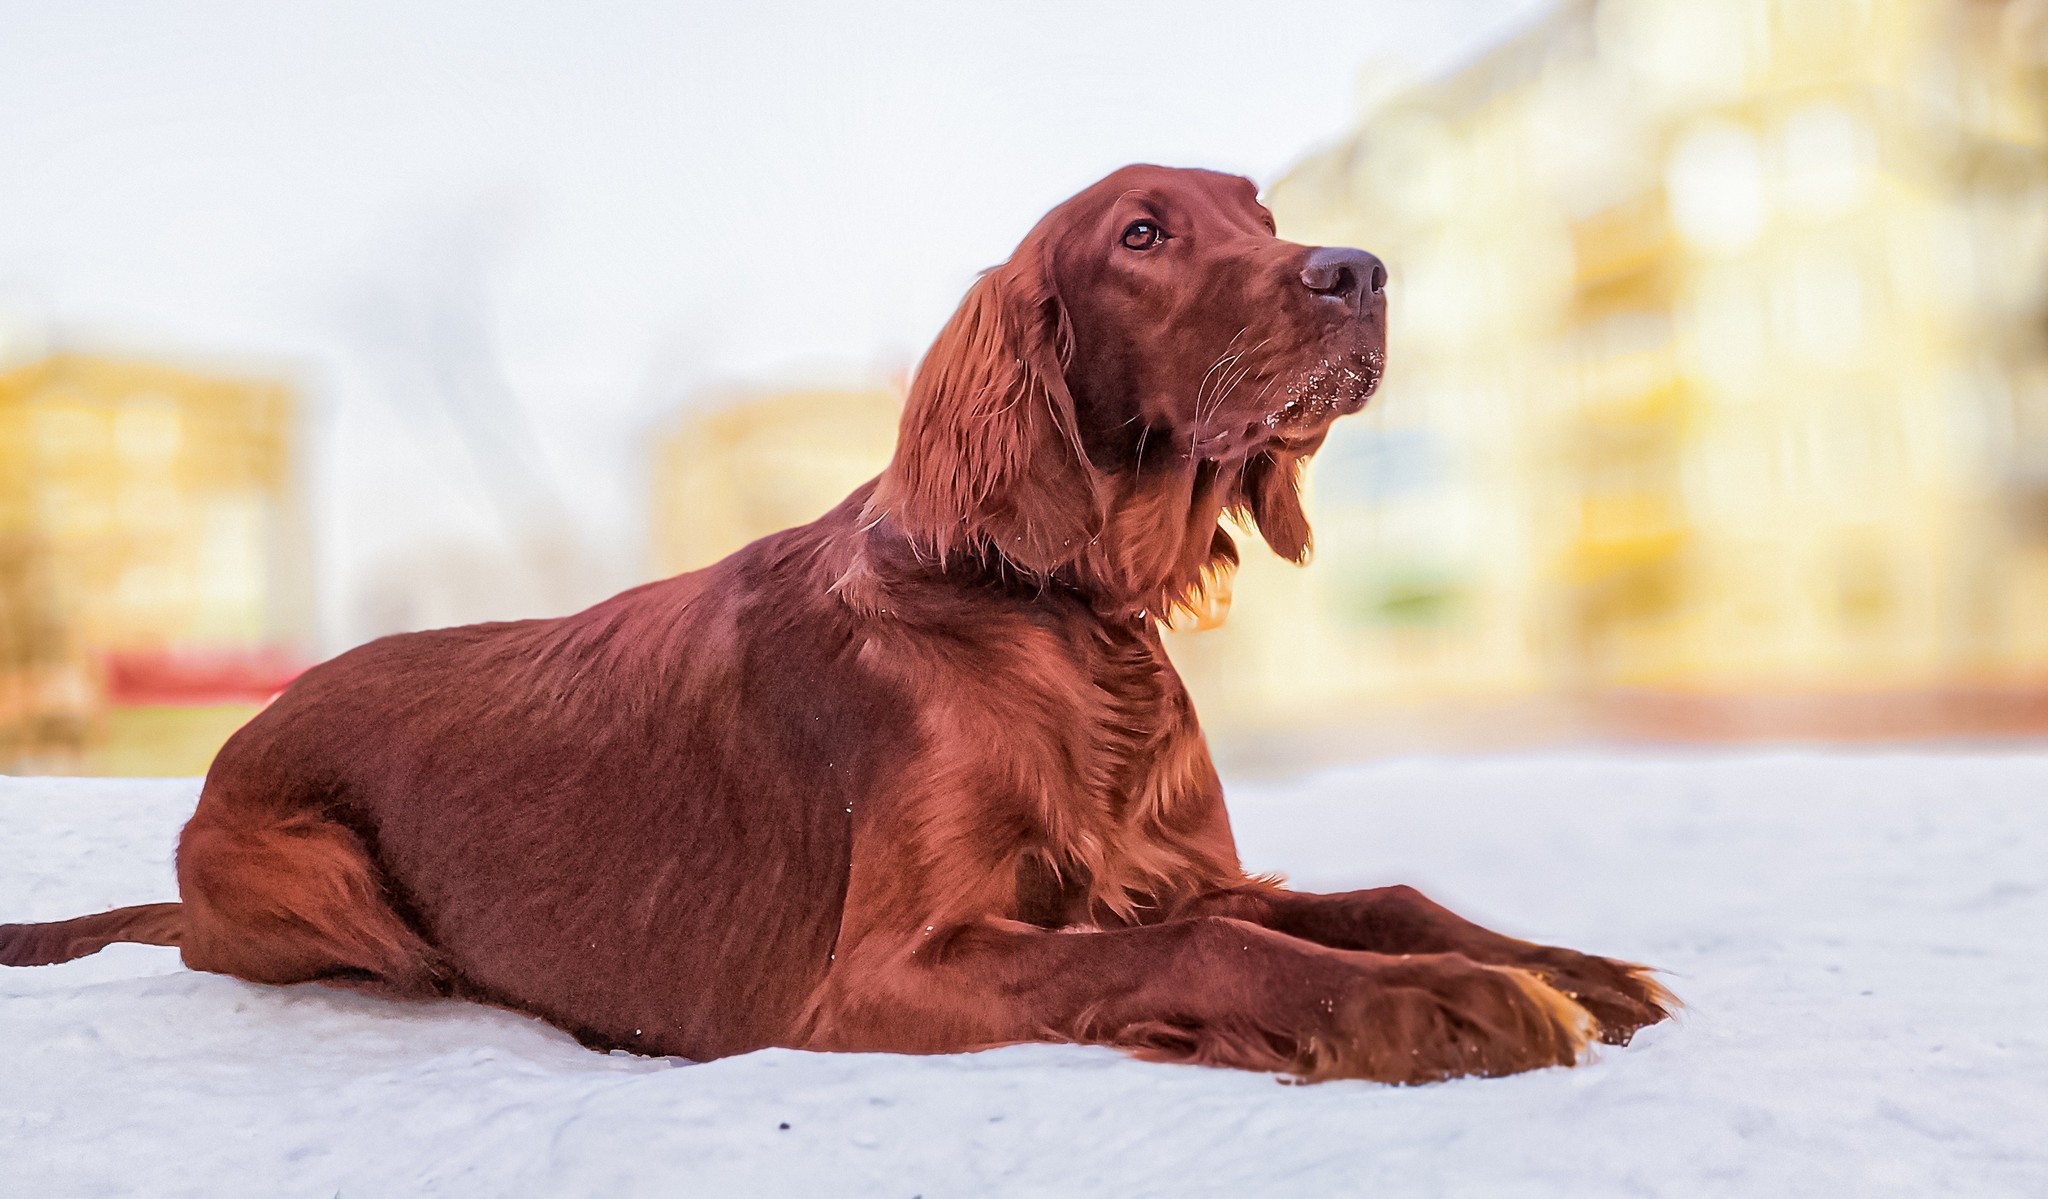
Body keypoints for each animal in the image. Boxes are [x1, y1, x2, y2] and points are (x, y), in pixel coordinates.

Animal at [0, 163, 1662, 1082]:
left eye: (1264, 211)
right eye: (1143, 232)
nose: (1358, 269)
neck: (1065, 615)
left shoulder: (1170, 867)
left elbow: (1373, 894)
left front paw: (1560, 962)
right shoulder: (884, 970)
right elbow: (1212, 946)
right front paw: (1443, 1004)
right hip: (327, 882)